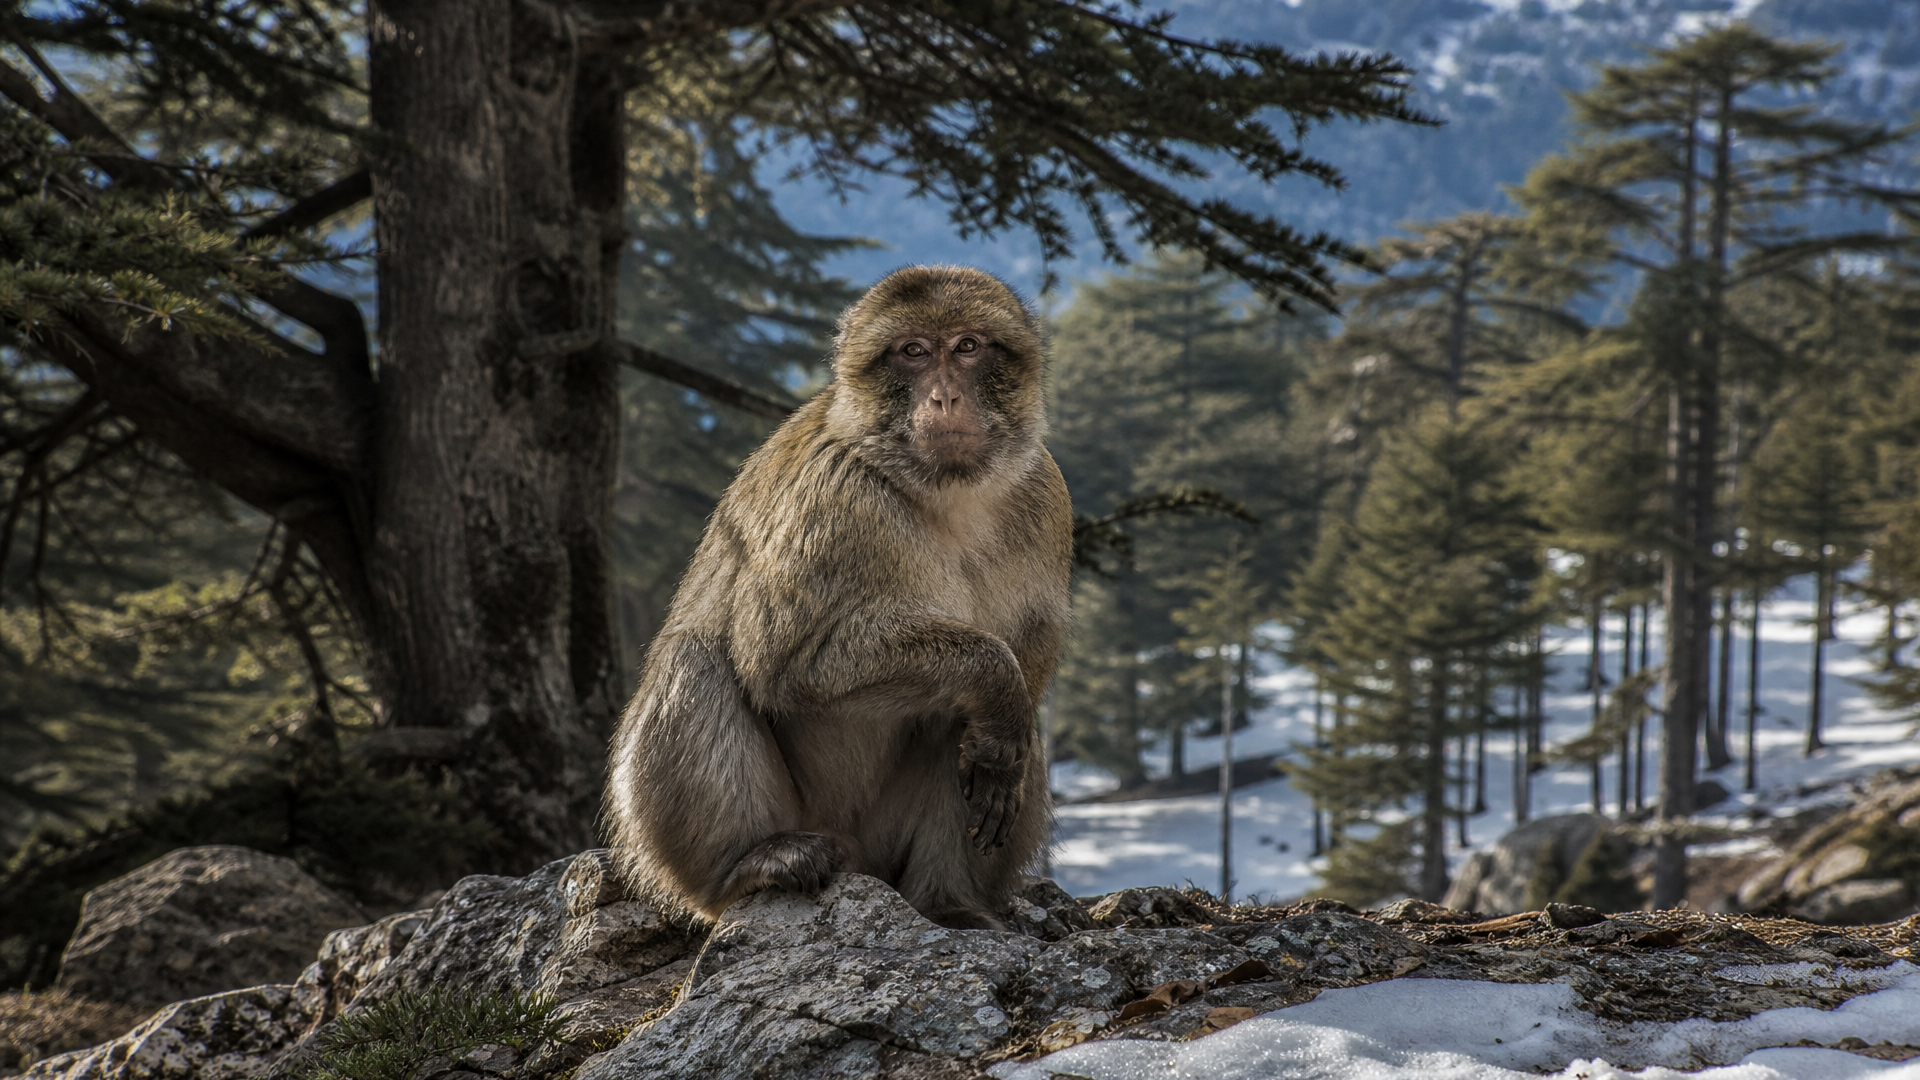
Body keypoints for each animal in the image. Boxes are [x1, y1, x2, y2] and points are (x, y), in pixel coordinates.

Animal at [605, 265, 1072, 931]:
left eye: (968, 347)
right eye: (912, 352)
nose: (944, 397)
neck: (946, 492)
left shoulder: (1044, 490)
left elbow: (1030, 649)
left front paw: (1003, 733)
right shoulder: (834, 499)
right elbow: (784, 661)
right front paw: (998, 683)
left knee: (957, 715)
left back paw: (948, 902)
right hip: (796, 830)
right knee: (696, 657)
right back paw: (747, 864)